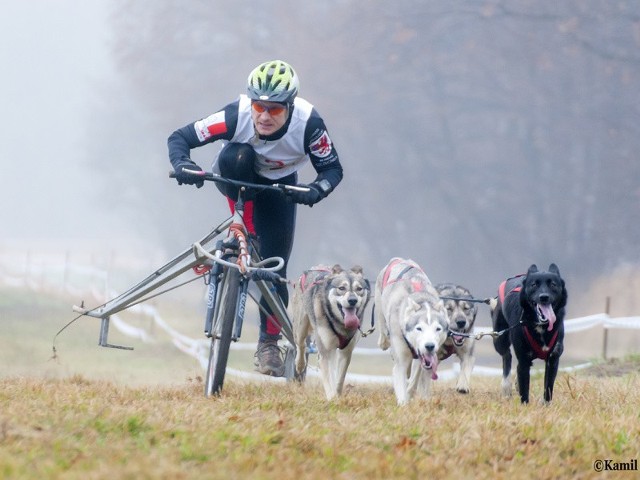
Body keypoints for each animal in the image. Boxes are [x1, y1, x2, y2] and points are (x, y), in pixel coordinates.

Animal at [492, 264, 568, 404]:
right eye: (533, 285)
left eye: (553, 284)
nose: (544, 297)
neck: (541, 326)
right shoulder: (523, 360)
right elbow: (524, 390)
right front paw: (525, 406)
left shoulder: (553, 359)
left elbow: (548, 387)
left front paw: (546, 405)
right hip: (499, 338)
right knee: (507, 356)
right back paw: (506, 386)